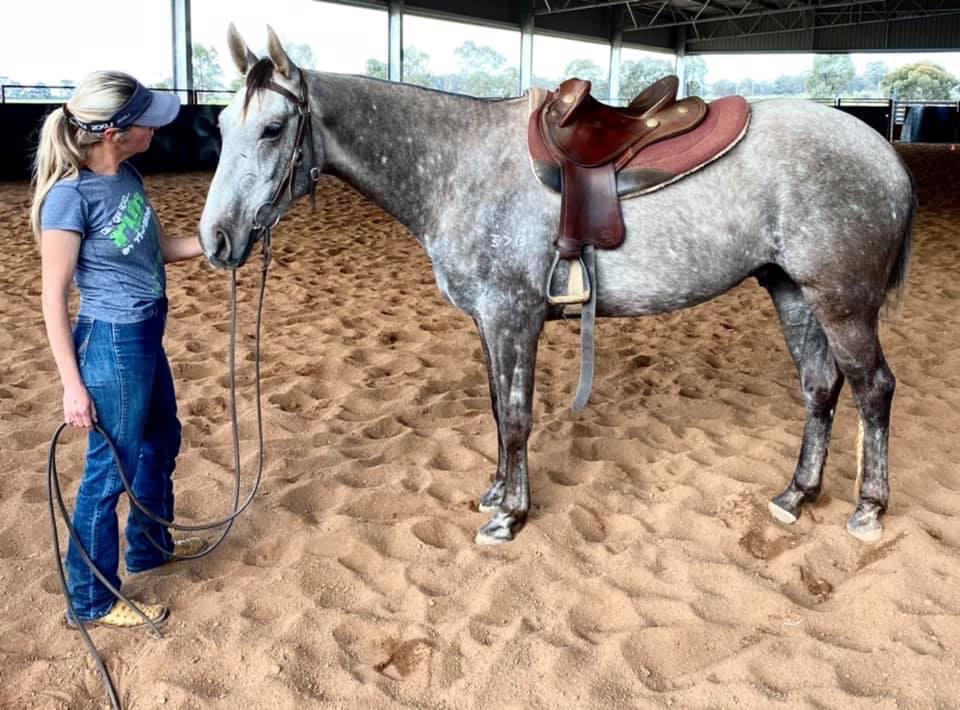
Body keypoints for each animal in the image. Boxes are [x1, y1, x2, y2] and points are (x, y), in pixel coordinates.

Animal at [199, 25, 914, 546]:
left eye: (272, 128)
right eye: (220, 127)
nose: (216, 240)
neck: (459, 166)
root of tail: (884, 155)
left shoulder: (511, 316)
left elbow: (515, 416)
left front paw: (509, 515)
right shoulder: (490, 323)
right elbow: (496, 410)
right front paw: (496, 491)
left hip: (842, 303)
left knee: (874, 388)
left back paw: (868, 509)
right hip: (791, 290)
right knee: (820, 386)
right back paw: (797, 494)